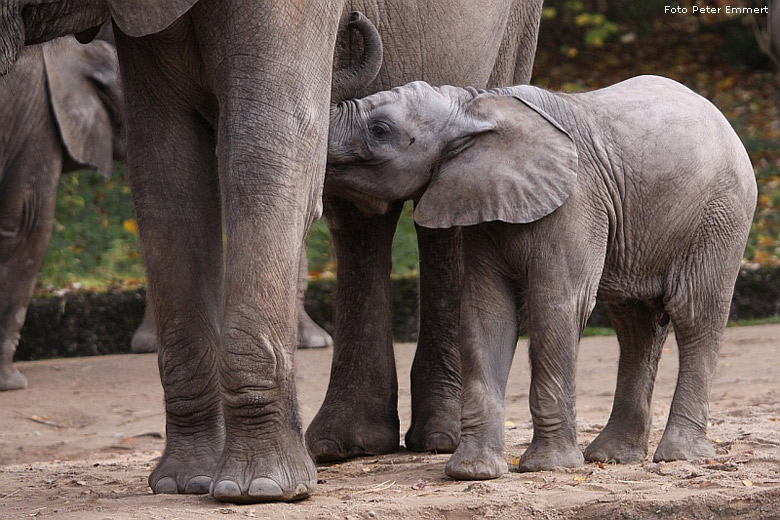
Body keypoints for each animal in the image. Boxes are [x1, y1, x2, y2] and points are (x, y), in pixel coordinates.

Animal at [1, 0, 544, 504]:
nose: (356, 23)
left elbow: (265, 156)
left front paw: (259, 488)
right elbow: (166, 179)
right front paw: (184, 484)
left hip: (515, 30)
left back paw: (437, 441)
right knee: (358, 216)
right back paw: (344, 444)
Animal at [326, 76, 760, 480]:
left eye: (380, 129)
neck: (474, 105)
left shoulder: (575, 204)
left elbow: (557, 305)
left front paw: (546, 466)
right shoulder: (483, 209)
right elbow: (487, 315)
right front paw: (471, 472)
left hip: (721, 216)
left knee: (694, 315)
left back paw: (677, 455)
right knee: (635, 326)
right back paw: (611, 456)